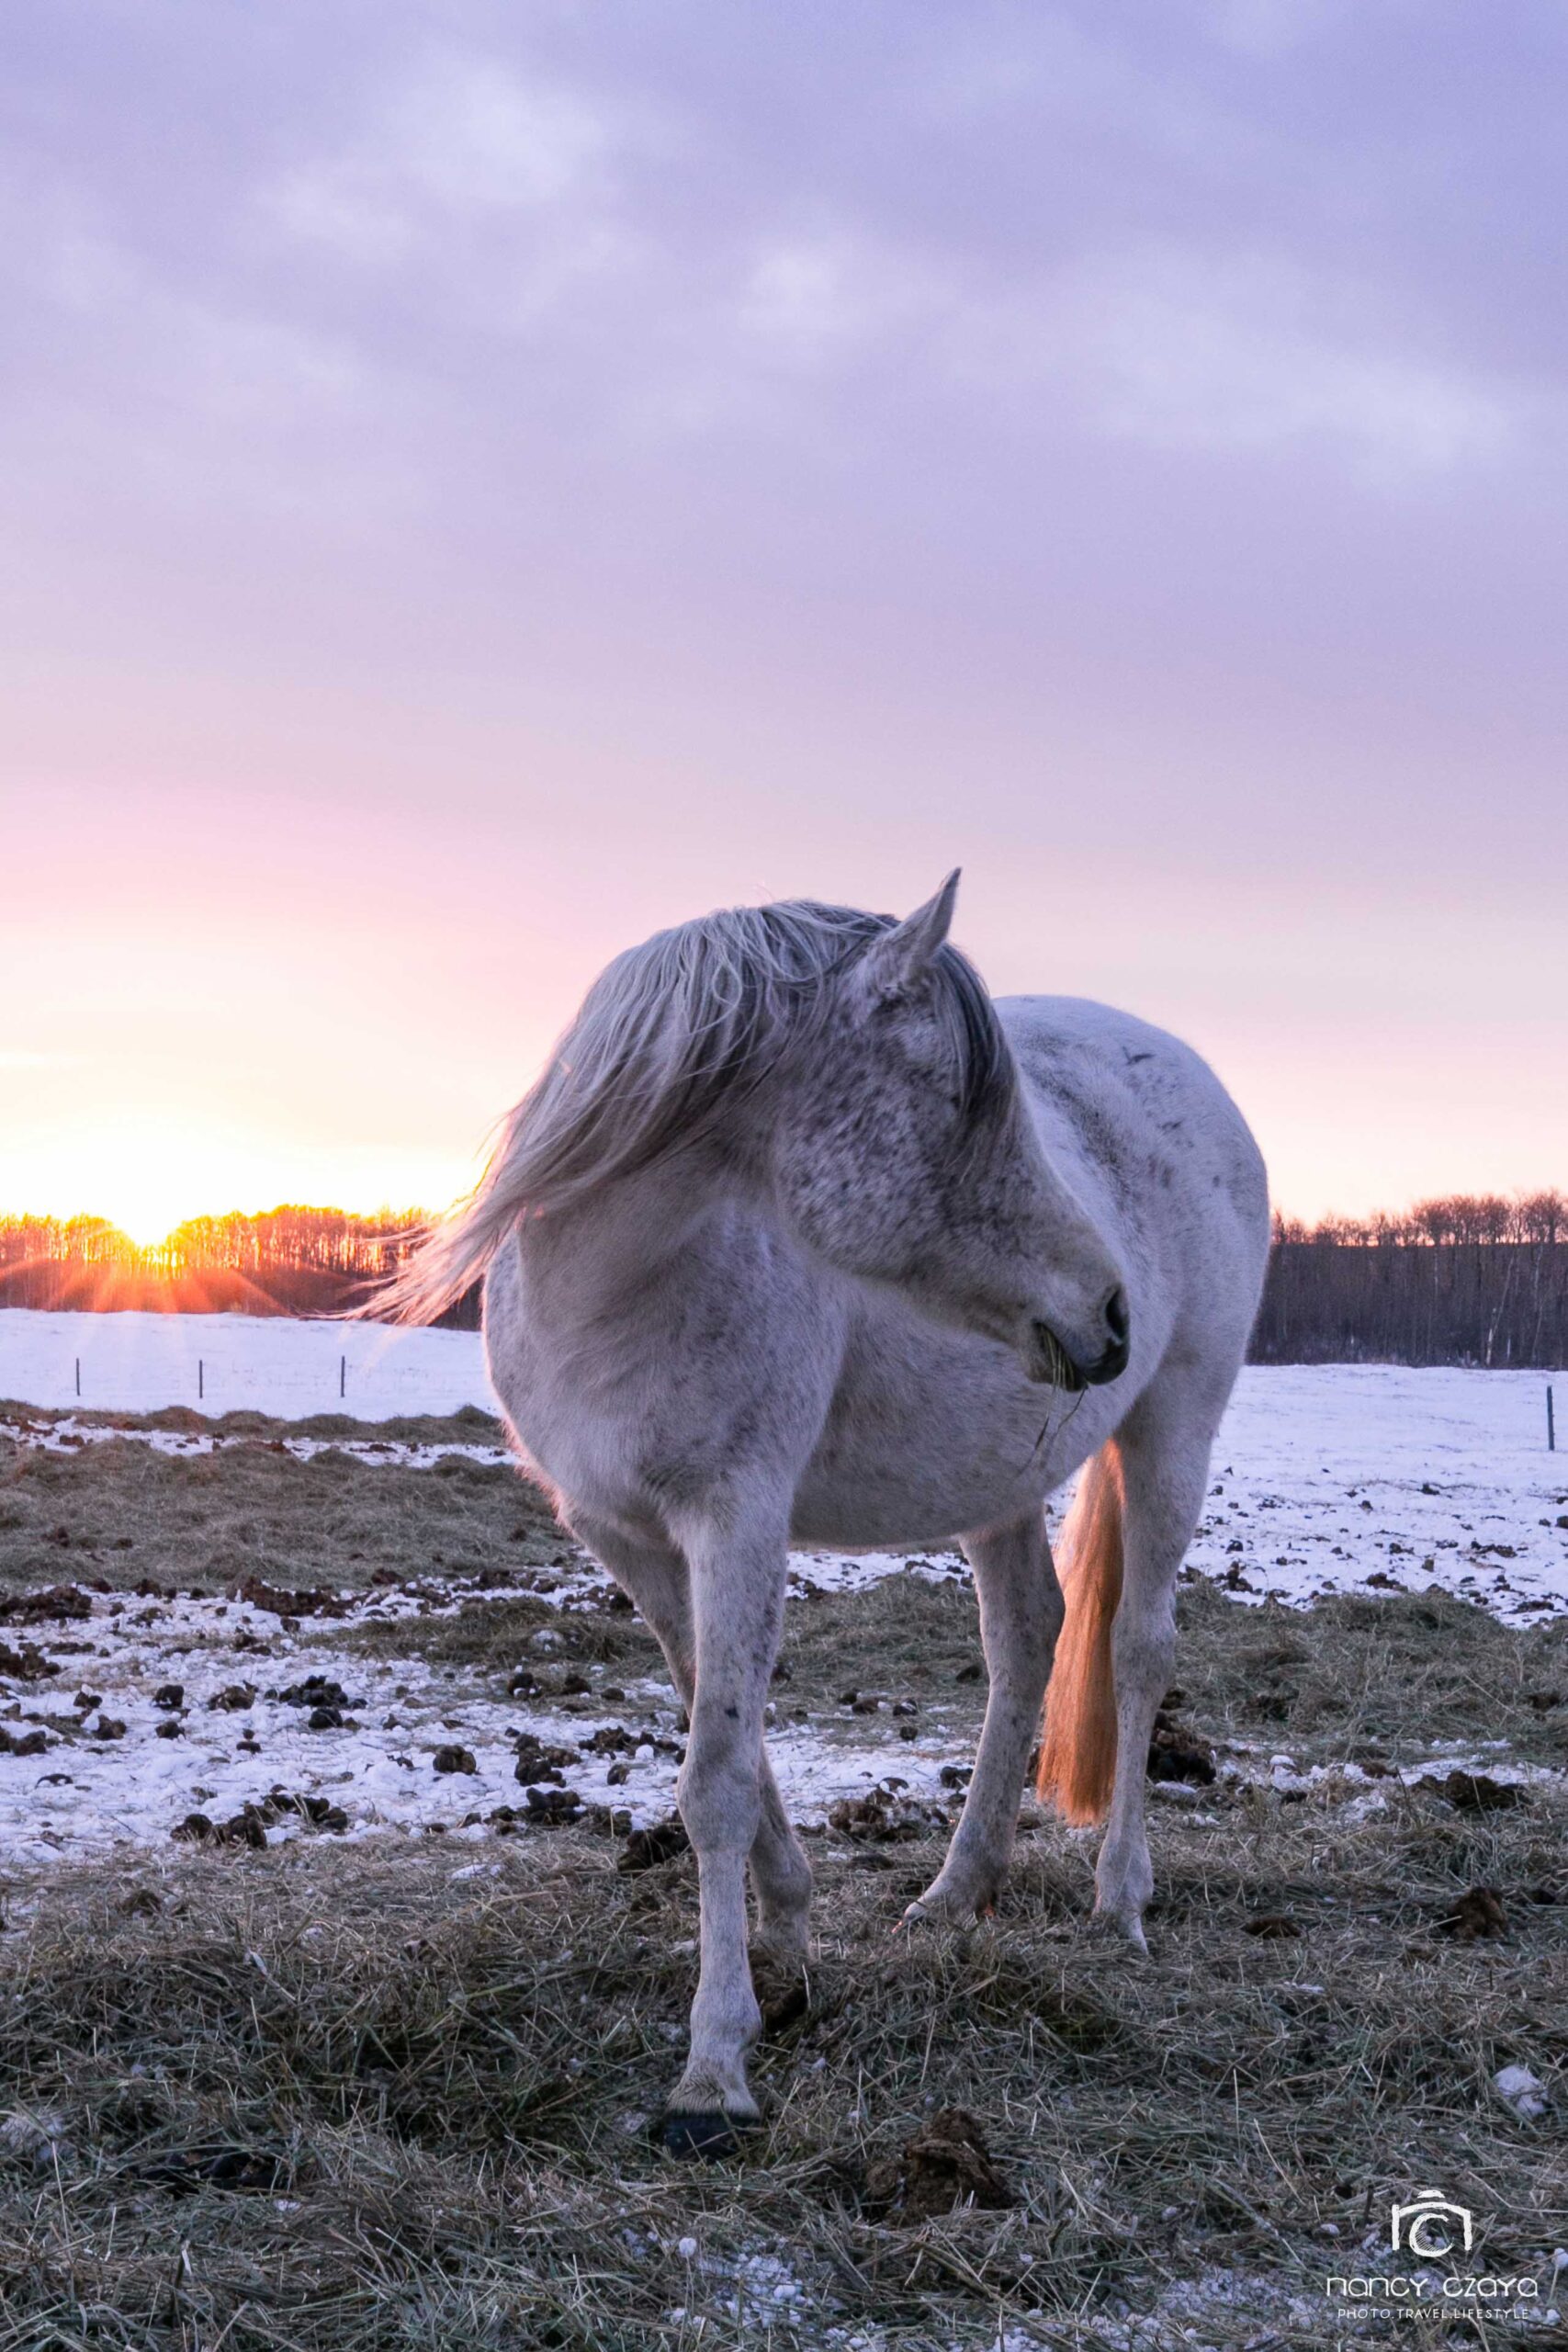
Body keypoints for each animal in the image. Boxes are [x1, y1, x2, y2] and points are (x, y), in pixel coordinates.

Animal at [389, 879, 1279, 2154]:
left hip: (1175, 1424)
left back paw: (1120, 1900)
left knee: (1139, 1647)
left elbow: (712, 1777)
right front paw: (790, 1947)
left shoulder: (738, 1520)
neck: (615, 1288)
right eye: (962, 1097)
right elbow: (722, 1737)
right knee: (1027, 1637)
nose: (1109, 1309)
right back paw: (956, 1891)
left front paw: (712, 2070)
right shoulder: (629, 1539)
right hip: (993, 1480)